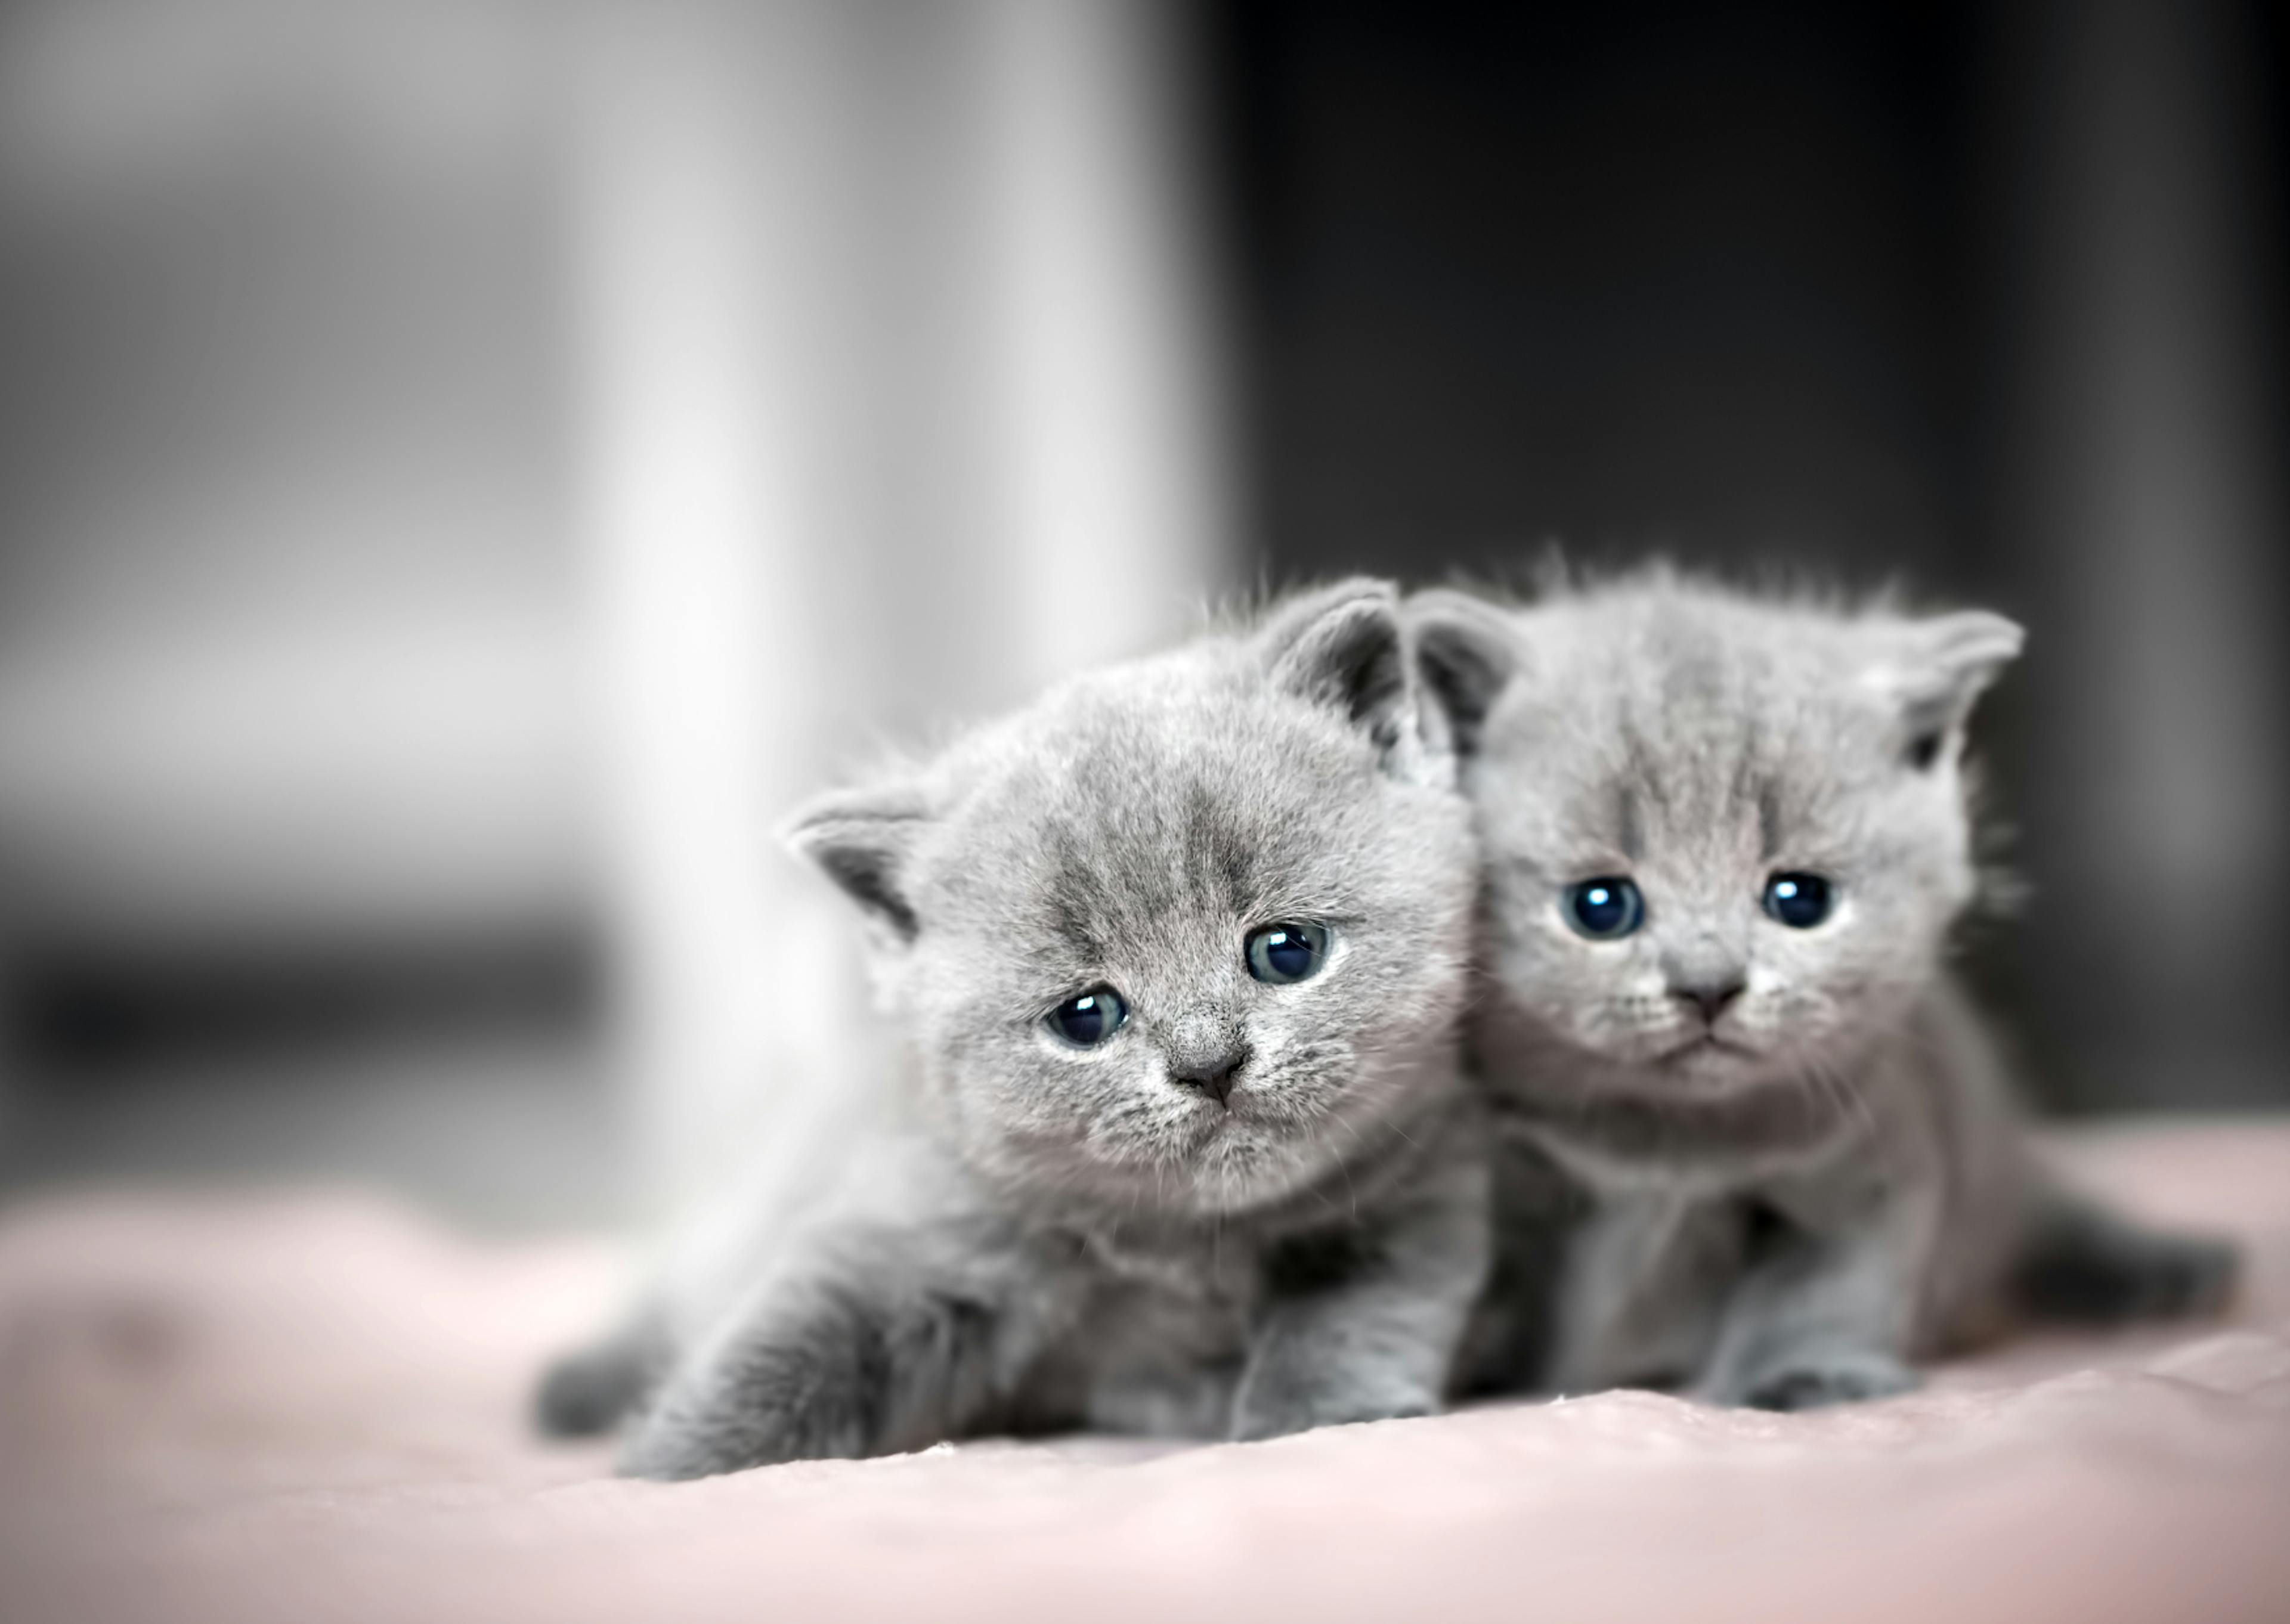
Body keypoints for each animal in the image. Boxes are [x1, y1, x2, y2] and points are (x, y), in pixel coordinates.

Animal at [543, 579, 1493, 1465]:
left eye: (1287, 950)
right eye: (1086, 1016)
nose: (1209, 1061)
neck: (1191, 1247)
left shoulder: (1421, 1186)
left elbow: (1355, 1313)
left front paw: (1319, 1419)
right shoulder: (915, 1223)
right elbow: (779, 1350)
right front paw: (660, 1472)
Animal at [1410, 568, 2235, 1402]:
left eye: (1800, 899)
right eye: (1600, 906)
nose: (1708, 985)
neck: (1670, 1146)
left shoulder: (1874, 1162)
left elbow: (1826, 1289)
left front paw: (1804, 1376)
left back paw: (2160, 1271)